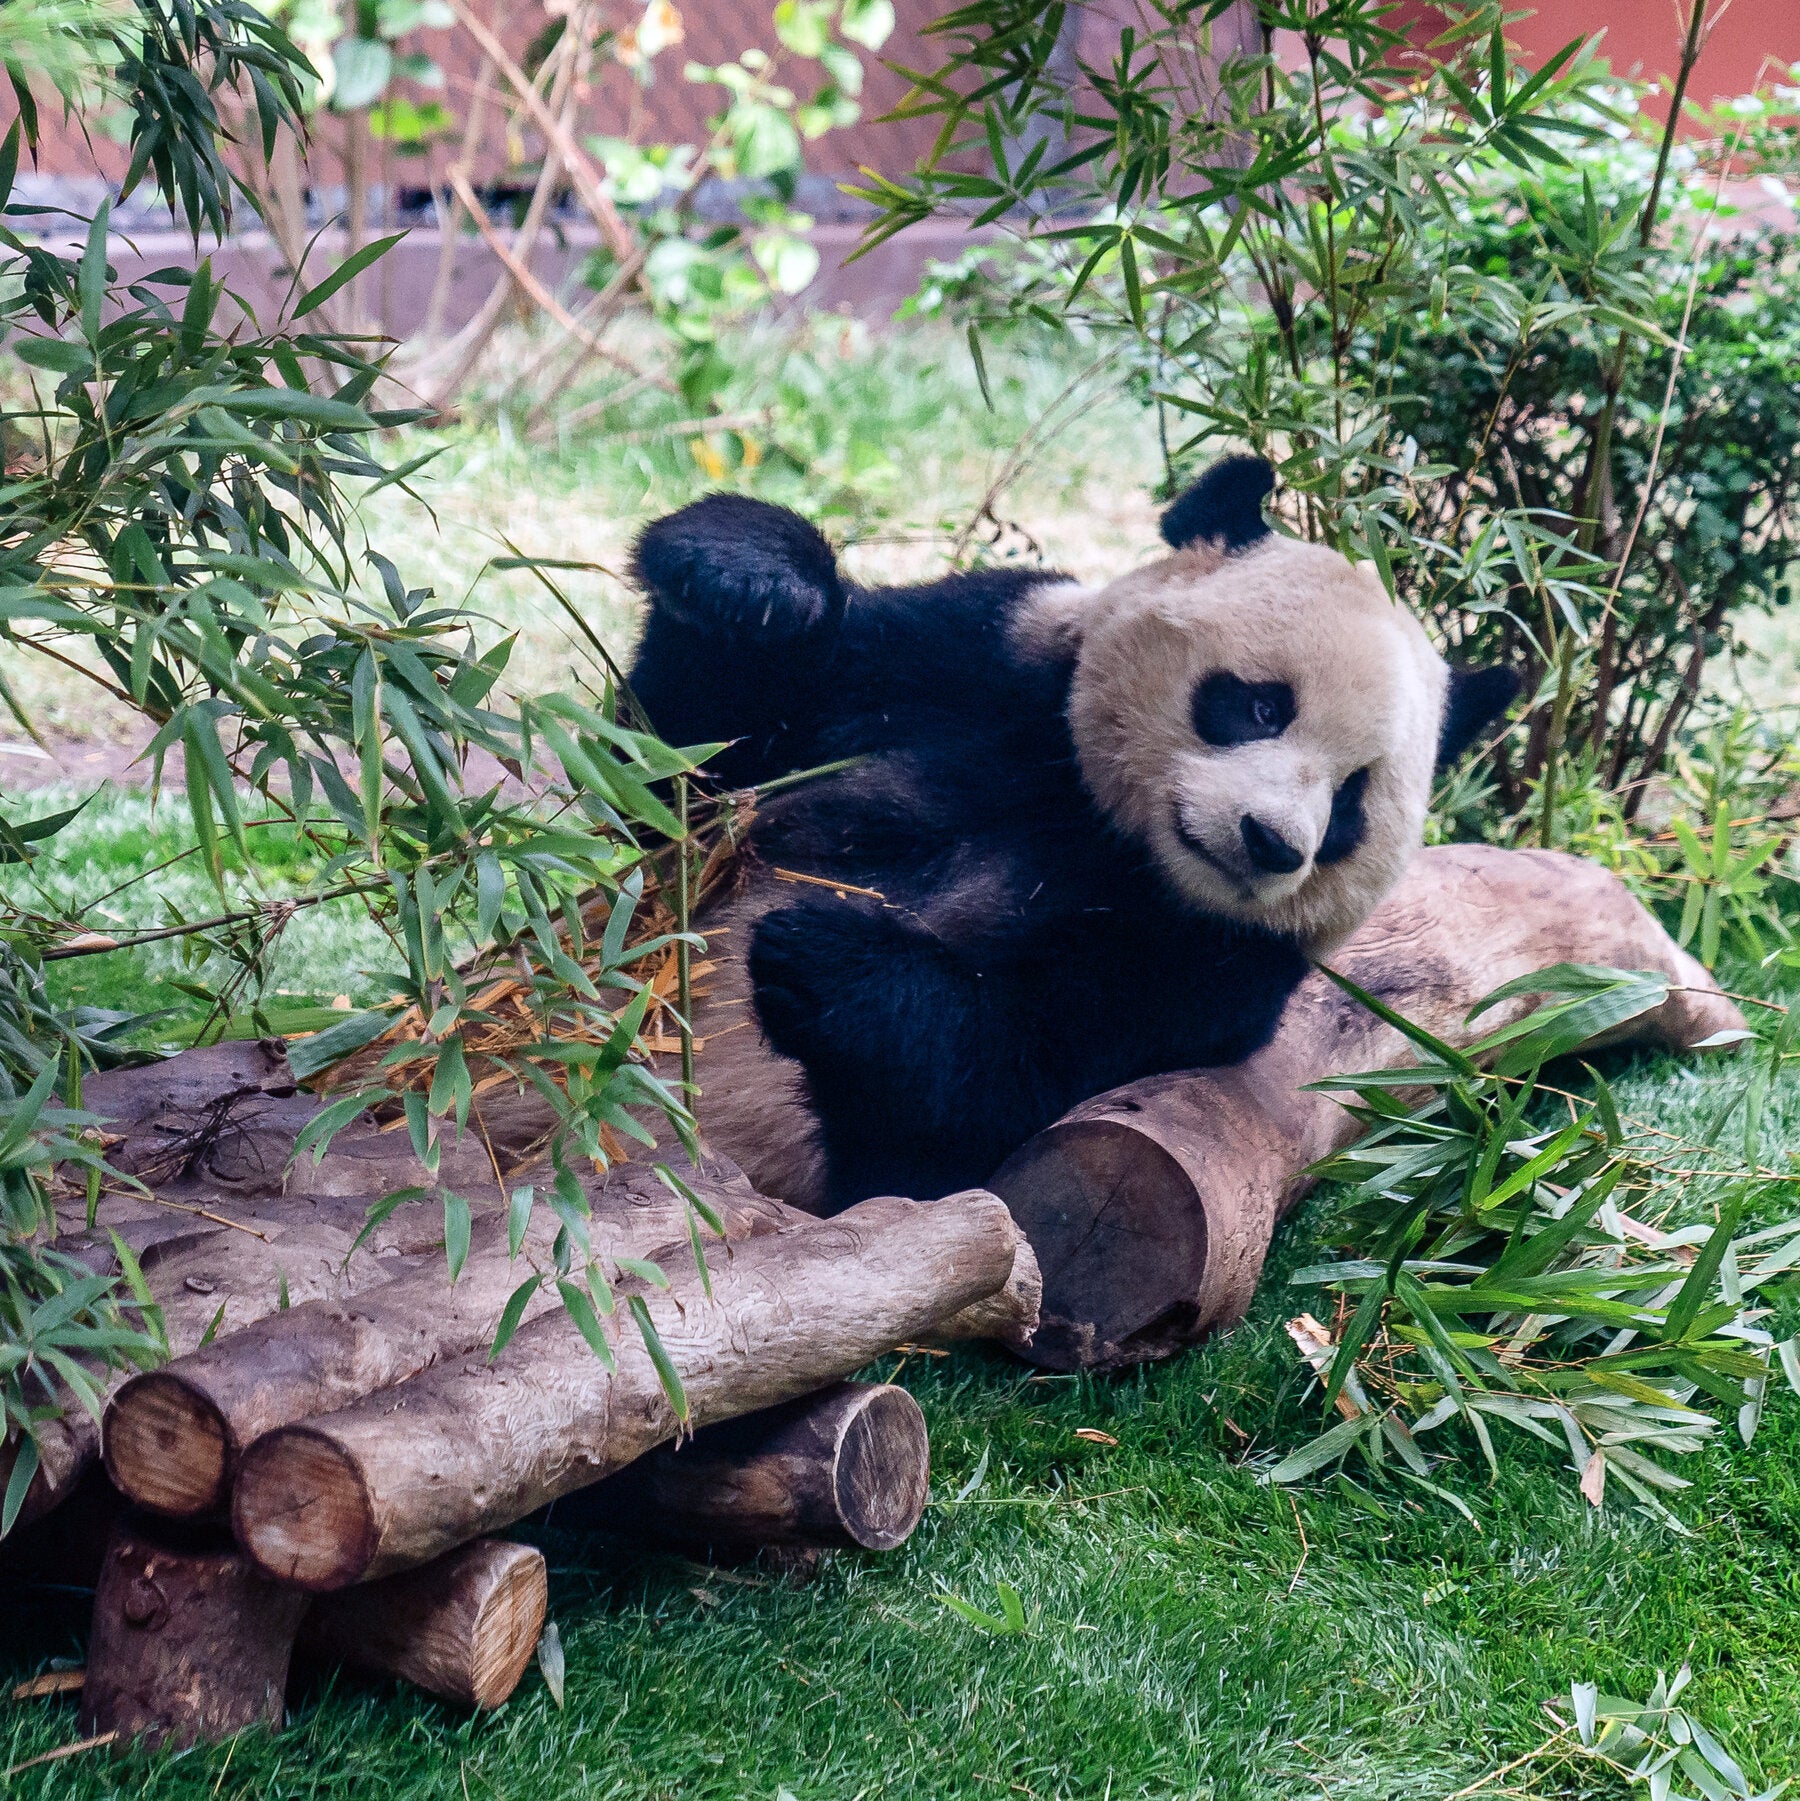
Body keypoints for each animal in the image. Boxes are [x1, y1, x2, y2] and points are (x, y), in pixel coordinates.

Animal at [627, 455, 1517, 1215]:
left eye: (1350, 800)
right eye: (1263, 705)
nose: (1271, 843)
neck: (1101, 826)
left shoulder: (1210, 970)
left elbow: (989, 1097)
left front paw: (831, 958)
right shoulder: (973, 662)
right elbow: (677, 768)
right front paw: (747, 575)